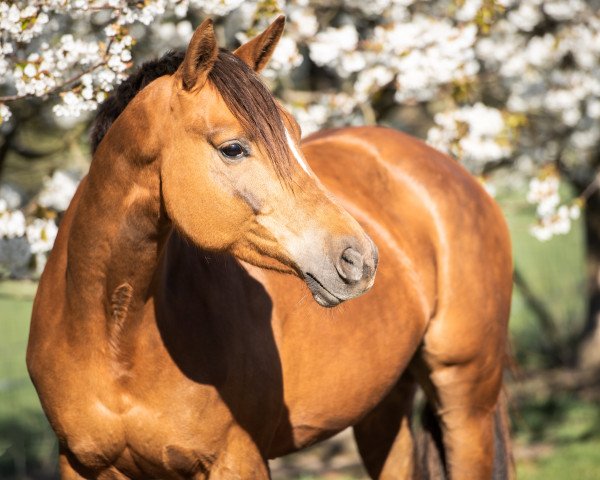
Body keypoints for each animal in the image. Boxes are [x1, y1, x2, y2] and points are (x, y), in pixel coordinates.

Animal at [28, 16, 512, 478]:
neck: (114, 339)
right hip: (383, 408)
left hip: (466, 400)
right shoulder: (80, 464)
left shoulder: (237, 461)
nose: (360, 259)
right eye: (233, 148)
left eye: (295, 133)